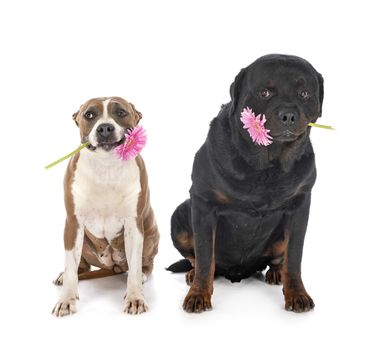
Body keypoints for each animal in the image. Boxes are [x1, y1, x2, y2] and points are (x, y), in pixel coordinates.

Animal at [168, 53, 324, 314]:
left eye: (304, 93)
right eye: (264, 92)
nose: (288, 115)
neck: (267, 165)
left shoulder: (300, 205)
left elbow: (294, 257)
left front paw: (297, 294)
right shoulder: (203, 203)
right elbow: (205, 256)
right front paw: (198, 294)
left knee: (278, 258)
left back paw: (275, 273)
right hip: (180, 214)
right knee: (196, 258)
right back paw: (191, 274)